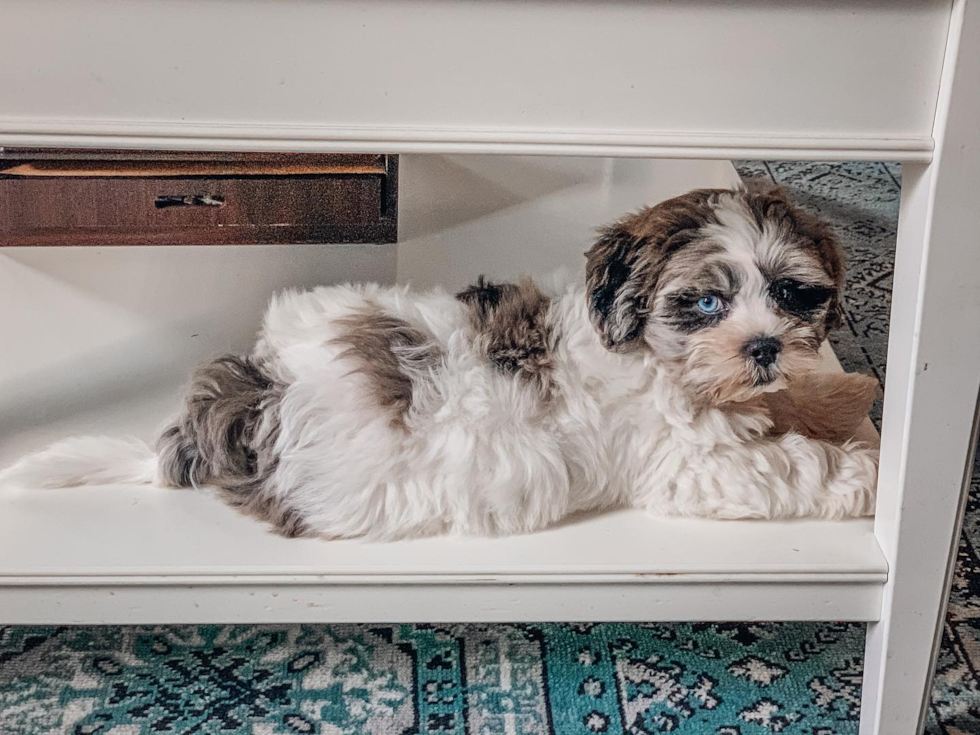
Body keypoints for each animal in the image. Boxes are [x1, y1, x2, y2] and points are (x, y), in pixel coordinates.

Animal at [0, 187, 884, 536]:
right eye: (703, 303)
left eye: (793, 294)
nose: (763, 346)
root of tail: (254, 395)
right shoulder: (691, 463)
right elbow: (790, 464)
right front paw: (866, 472)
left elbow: (796, 406)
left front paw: (852, 392)